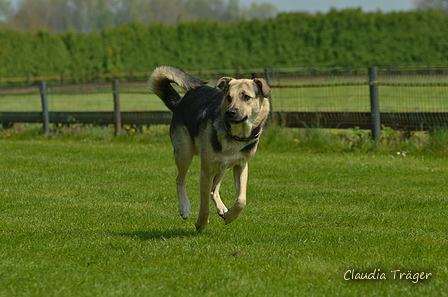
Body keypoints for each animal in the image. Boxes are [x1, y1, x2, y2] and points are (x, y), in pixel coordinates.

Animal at [149, 65, 272, 231]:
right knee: (180, 180)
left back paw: (222, 209)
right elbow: (205, 204)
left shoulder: (241, 166)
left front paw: (230, 216)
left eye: (246, 97)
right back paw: (184, 207)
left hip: (223, 167)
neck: (235, 135)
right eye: (228, 97)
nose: (230, 112)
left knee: (214, 189)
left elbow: (241, 200)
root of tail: (181, 102)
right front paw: (201, 223)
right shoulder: (206, 171)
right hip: (184, 153)